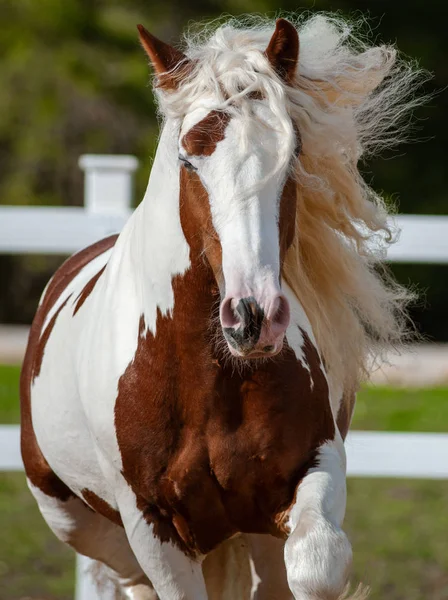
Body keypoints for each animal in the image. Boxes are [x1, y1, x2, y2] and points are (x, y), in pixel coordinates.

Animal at [21, 12, 420, 600]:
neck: (206, 377)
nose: (253, 317)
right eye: (188, 158)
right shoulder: (152, 526)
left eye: (292, 155)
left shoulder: (313, 467)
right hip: (78, 521)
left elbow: (316, 565)